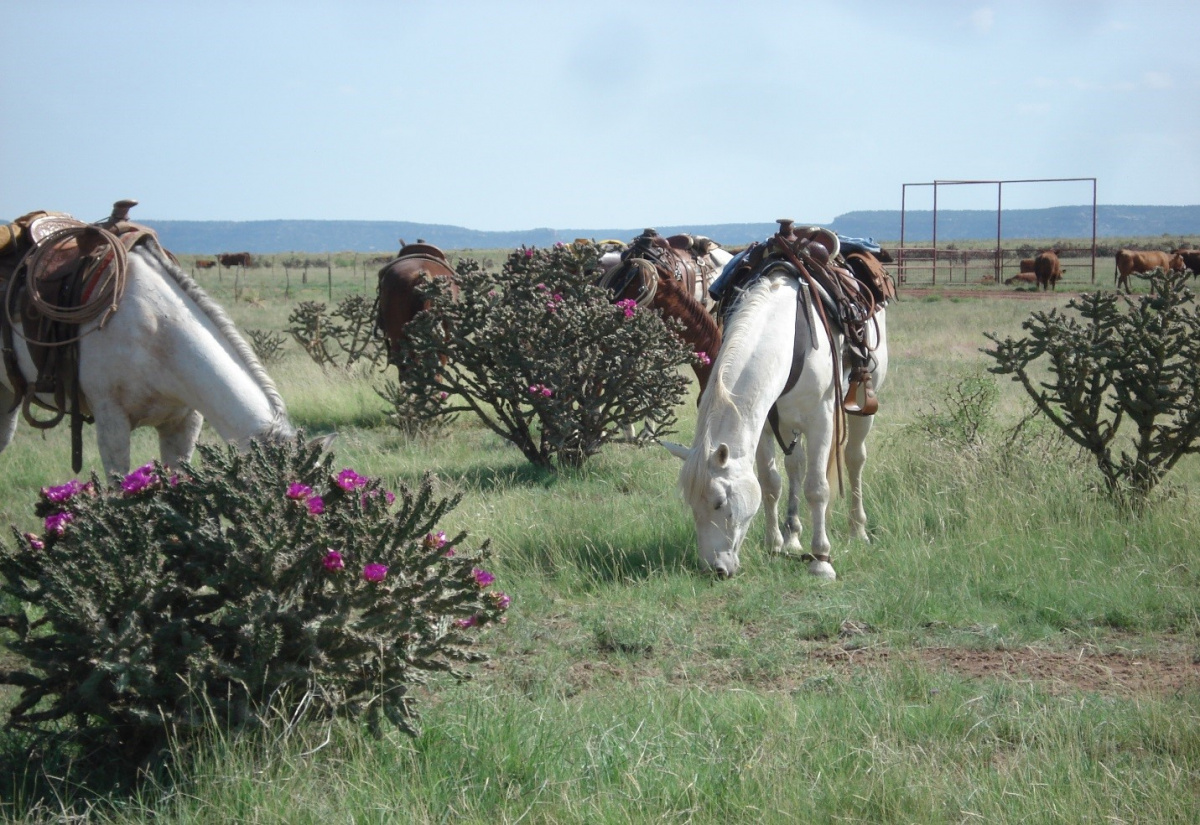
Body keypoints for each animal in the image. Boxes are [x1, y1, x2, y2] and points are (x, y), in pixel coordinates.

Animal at [662, 259, 888, 580]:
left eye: (720, 502)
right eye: (691, 503)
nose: (715, 569)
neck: (788, 335)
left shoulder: (820, 421)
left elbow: (817, 489)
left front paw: (821, 560)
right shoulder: (764, 427)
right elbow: (770, 484)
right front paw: (775, 546)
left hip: (861, 408)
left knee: (854, 459)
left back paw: (858, 530)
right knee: (795, 466)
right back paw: (793, 535)